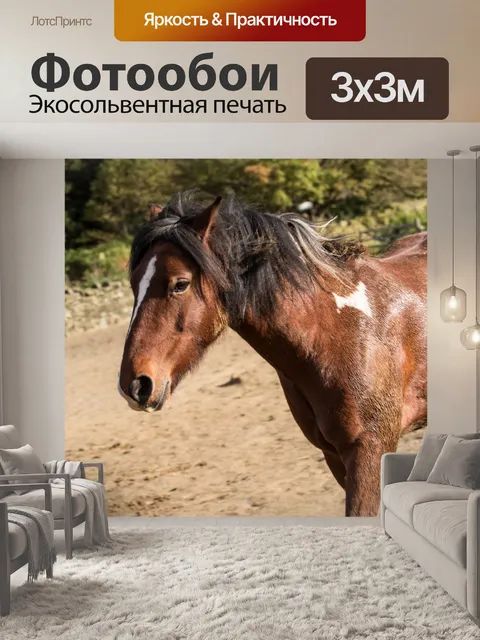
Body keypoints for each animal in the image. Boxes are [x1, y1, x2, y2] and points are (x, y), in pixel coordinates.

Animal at [118, 192, 427, 516]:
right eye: (134, 283)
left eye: (180, 284)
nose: (135, 385)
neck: (339, 331)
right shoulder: (334, 456)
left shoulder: (370, 451)